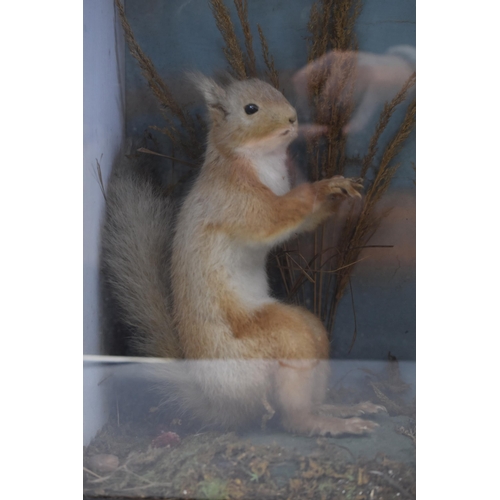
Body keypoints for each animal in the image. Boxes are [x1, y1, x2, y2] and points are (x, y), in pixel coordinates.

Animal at [100, 75, 382, 438]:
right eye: (251, 109)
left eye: (278, 91)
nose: (293, 118)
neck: (263, 160)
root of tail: (222, 400)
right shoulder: (238, 200)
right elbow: (275, 217)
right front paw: (324, 187)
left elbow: (302, 221)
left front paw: (342, 193)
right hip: (278, 341)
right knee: (291, 415)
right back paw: (328, 423)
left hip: (311, 333)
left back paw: (342, 409)